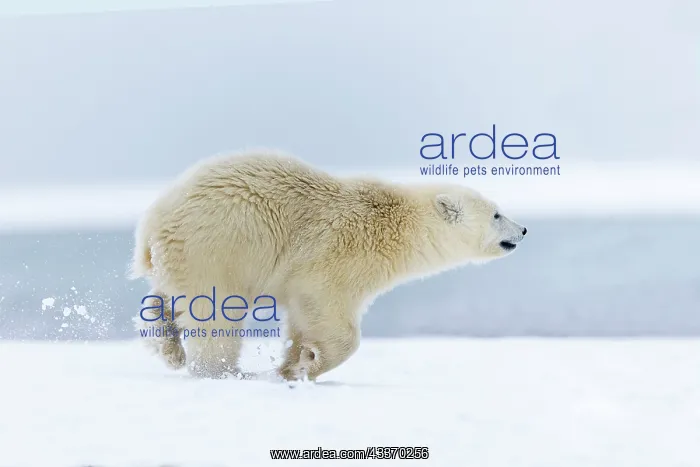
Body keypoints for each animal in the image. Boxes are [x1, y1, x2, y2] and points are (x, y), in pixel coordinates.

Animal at [130, 149, 527, 381]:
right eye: (496, 213)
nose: (523, 229)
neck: (397, 226)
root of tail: (151, 222)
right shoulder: (340, 255)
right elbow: (328, 311)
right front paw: (310, 365)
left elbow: (302, 320)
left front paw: (293, 364)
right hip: (218, 245)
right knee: (214, 314)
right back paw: (220, 370)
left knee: (168, 296)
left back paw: (169, 346)